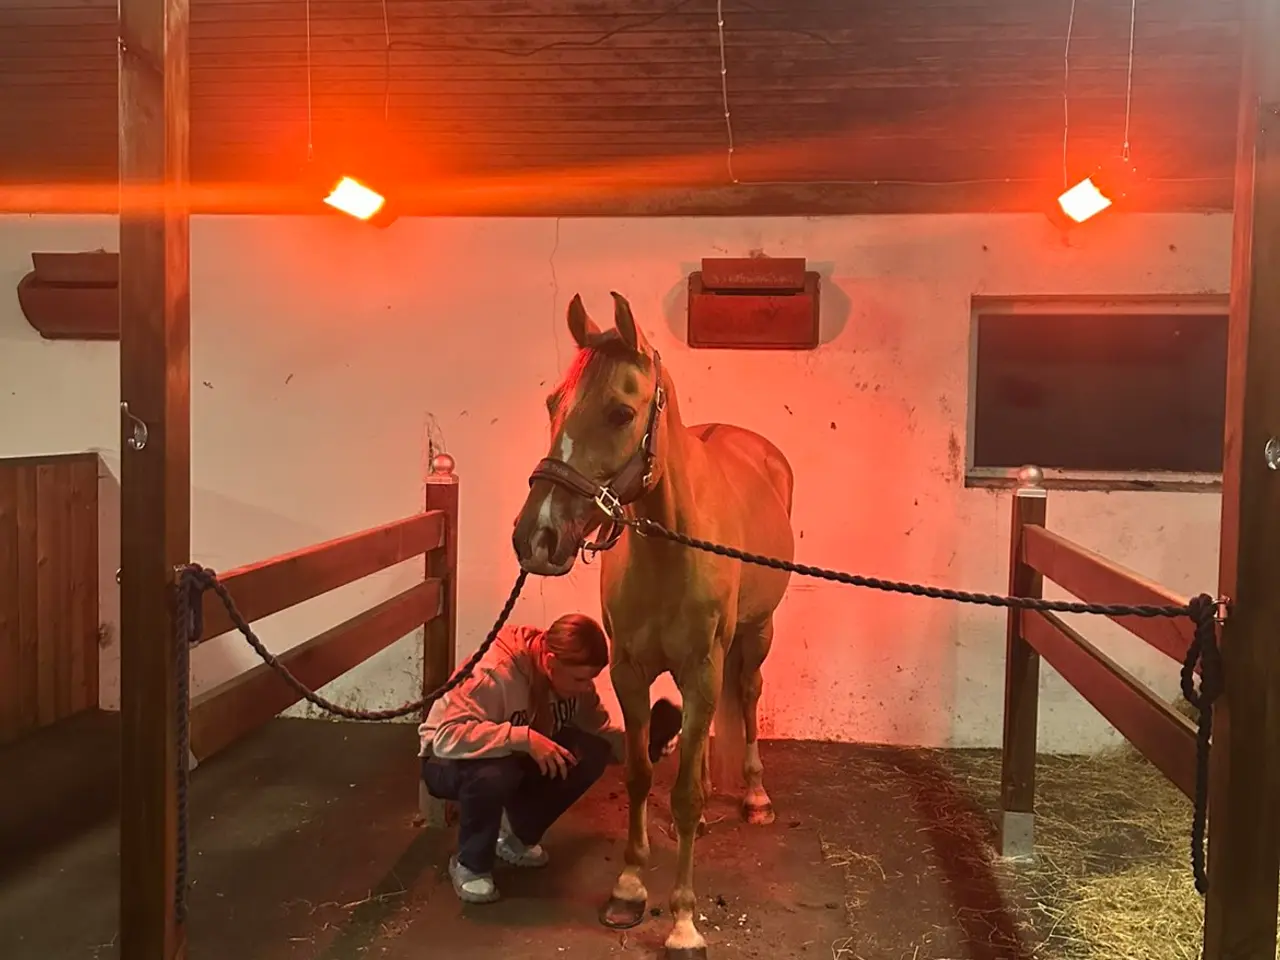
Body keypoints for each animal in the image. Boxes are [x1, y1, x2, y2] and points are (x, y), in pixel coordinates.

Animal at [511, 291, 795, 959]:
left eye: (620, 412)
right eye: (552, 404)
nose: (535, 538)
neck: (671, 550)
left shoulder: (703, 669)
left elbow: (684, 794)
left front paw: (684, 921)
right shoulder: (631, 672)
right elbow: (642, 774)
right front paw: (630, 889)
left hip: (757, 634)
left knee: (748, 696)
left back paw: (754, 795)